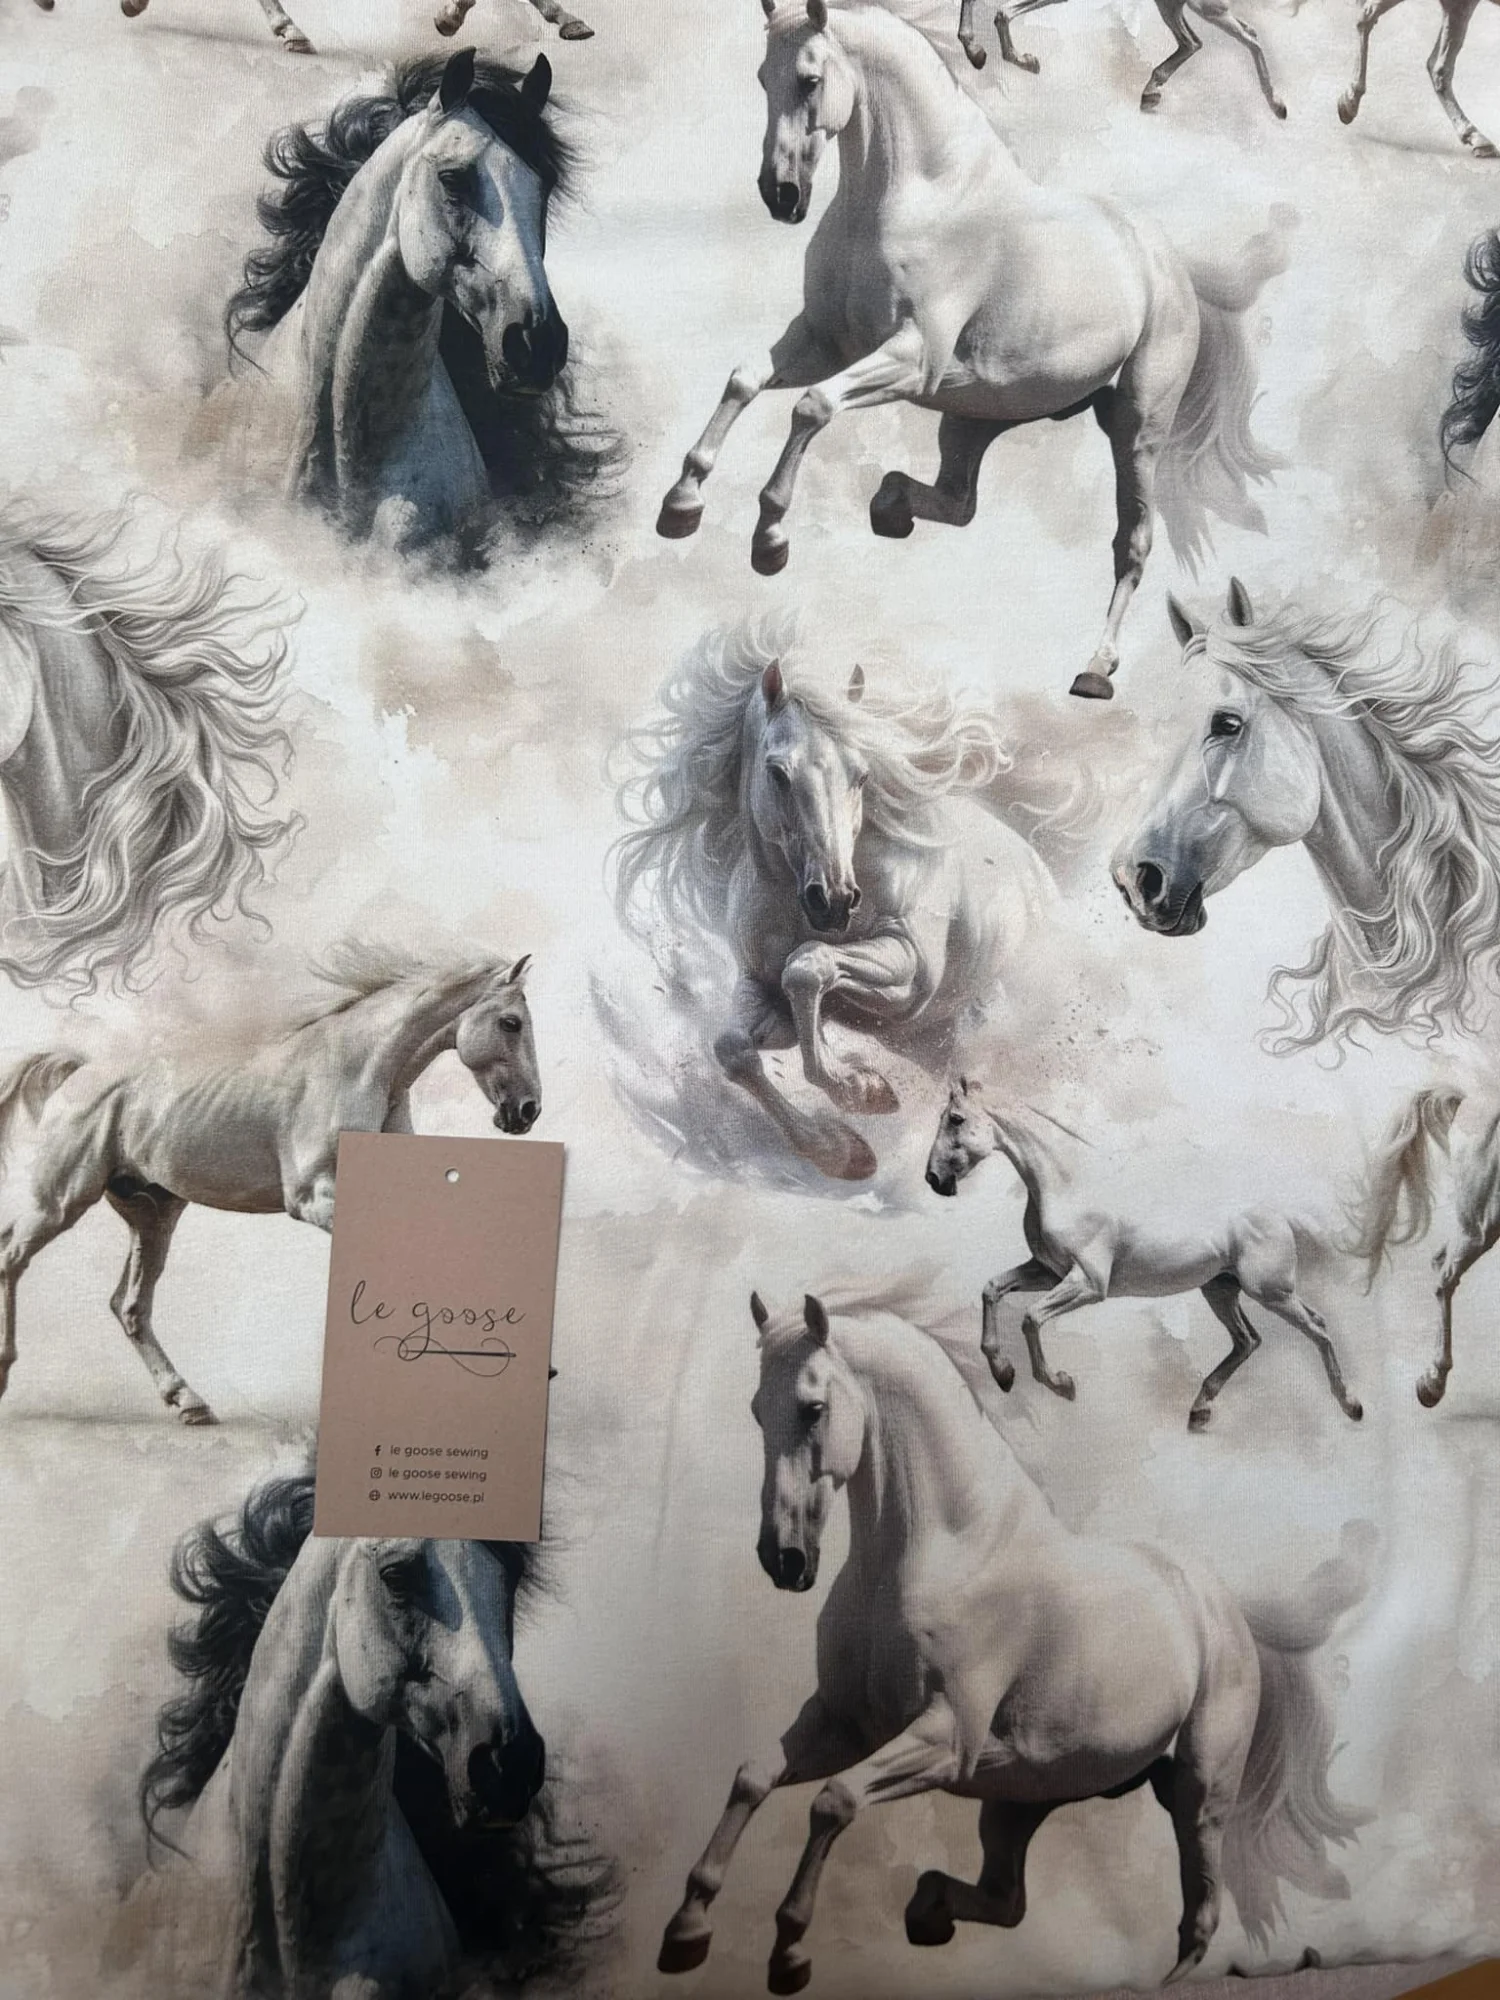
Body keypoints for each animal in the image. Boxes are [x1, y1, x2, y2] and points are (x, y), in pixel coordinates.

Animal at [0, 941, 539, 1424]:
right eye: (511, 1022)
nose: (527, 1111)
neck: (358, 1070)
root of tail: (78, 1074)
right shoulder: (314, 1198)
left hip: (151, 1215)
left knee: (129, 1305)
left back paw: (188, 1402)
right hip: (60, 1200)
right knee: (13, 1258)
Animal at [610, 624, 1056, 1183]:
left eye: (862, 775)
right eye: (778, 773)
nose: (835, 900)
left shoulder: (910, 975)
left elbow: (808, 968)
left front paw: (863, 1091)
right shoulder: (763, 990)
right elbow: (734, 1048)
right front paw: (842, 1150)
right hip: (931, 1042)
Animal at [659, 1291, 1371, 1993]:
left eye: (813, 1408)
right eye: (756, 1409)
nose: (783, 1561)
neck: (946, 1553)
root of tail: (1223, 1606)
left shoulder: (948, 1738)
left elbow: (833, 1803)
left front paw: (790, 1949)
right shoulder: (844, 1723)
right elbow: (753, 1778)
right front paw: (686, 1932)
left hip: (1202, 1789)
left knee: (1198, 1911)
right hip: (1018, 1800)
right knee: (1008, 1899)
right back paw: (927, 1911)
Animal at [924, 1076, 1363, 1428]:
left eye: (956, 1119)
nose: (933, 1179)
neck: (1067, 1185)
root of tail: (1278, 1214)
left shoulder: (1088, 1284)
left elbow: (1031, 1319)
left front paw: (1062, 1385)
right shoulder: (1048, 1272)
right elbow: (992, 1289)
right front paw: (1002, 1372)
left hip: (1270, 1291)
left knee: (1317, 1327)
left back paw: (1351, 1405)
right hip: (1221, 1289)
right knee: (1248, 1341)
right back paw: (1199, 1410)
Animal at [956, 0, 1290, 119]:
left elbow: (1003, 13)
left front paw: (1025, 60)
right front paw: (975, 51)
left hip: (1202, 5)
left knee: (1249, 37)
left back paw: (1277, 105)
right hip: (1173, 4)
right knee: (1194, 42)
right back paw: (1150, 91)